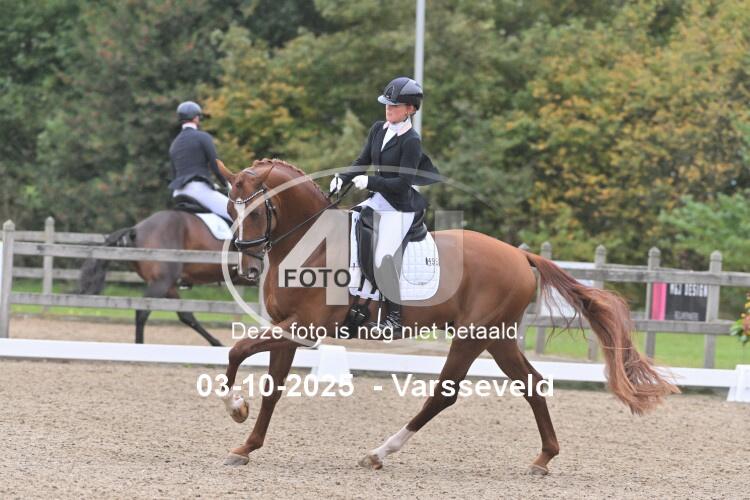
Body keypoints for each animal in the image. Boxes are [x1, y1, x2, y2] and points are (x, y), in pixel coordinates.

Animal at [78, 163, 253, 346]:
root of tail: (137, 229)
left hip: (167, 284)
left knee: (185, 314)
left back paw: (216, 343)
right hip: (161, 281)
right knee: (143, 311)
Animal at [214, 158, 679, 474]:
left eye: (255, 211)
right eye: (230, 210)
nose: (247, 270)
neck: (311, 243)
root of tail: (521, 255)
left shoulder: (306, 326)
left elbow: (237, 350)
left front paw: (235, 408)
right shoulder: (290, 328)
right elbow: (272, 386)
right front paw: (246, 445)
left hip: (474, 335)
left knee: (444, 393)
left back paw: (380, 452)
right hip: (498, 337)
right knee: (531, 383)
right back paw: (543, 458)